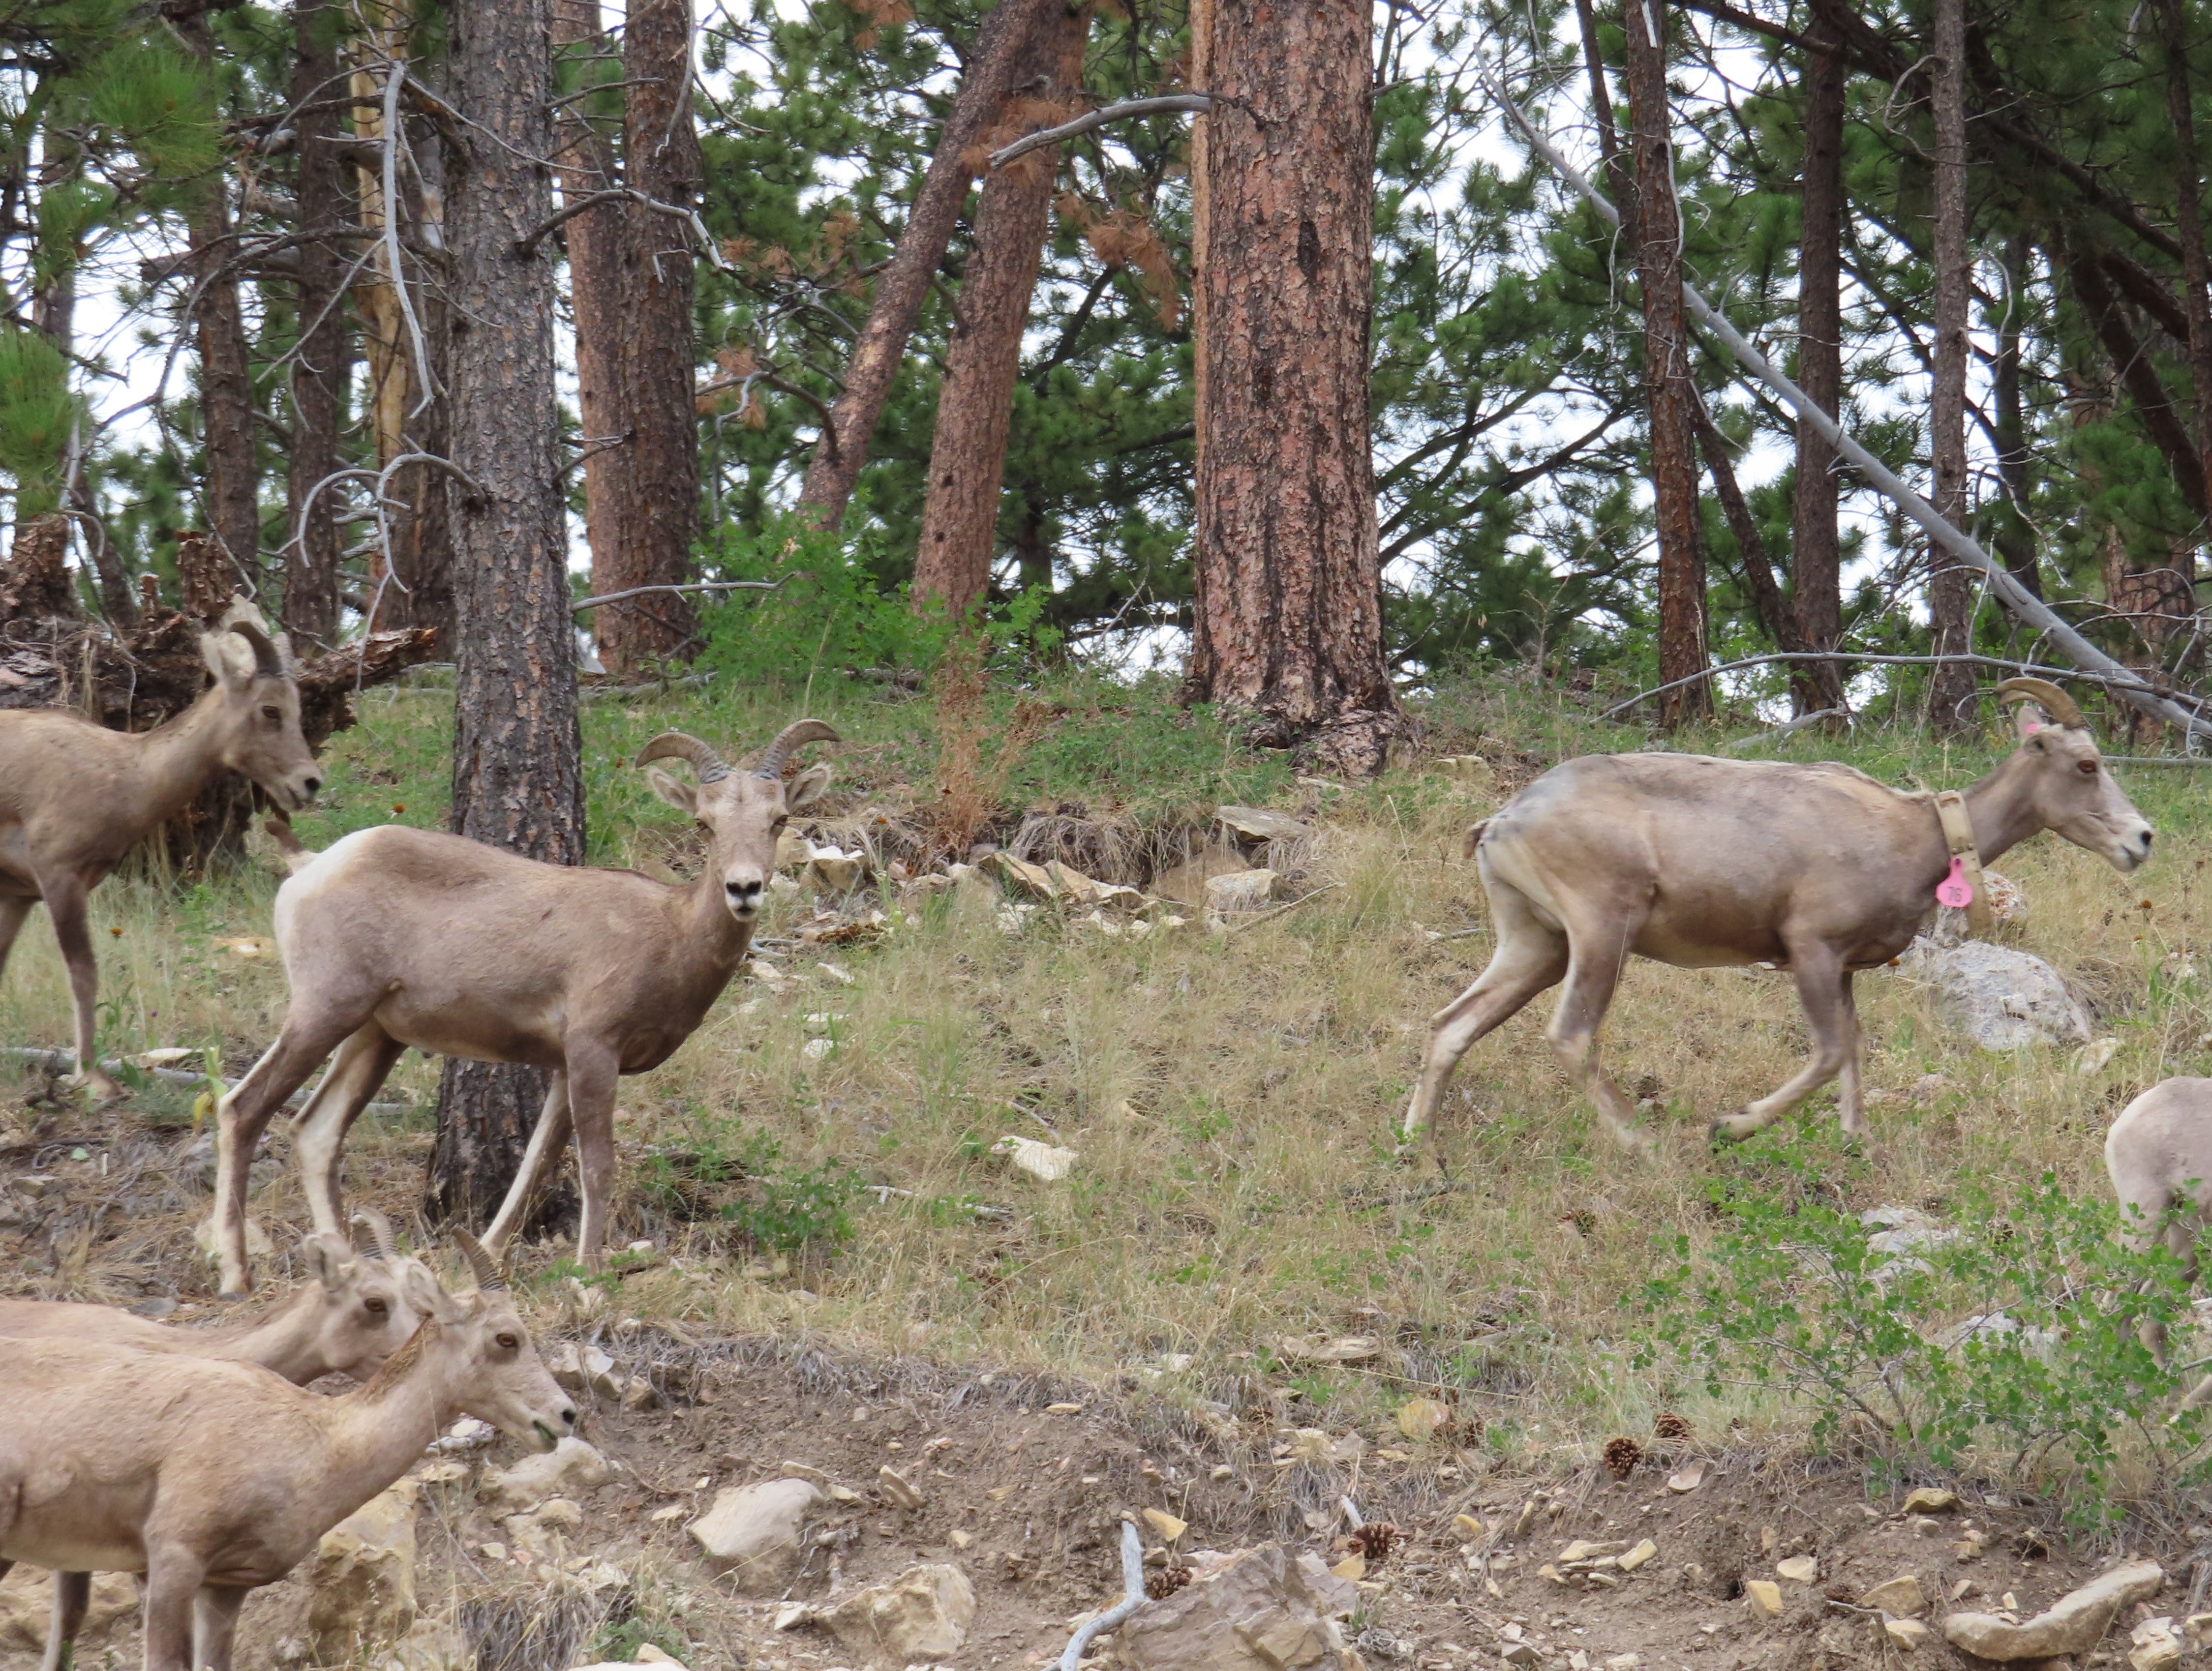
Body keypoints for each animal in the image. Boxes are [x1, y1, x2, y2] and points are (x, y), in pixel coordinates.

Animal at [0, 605, 321, 1100]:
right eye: (270, 710)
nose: (308, 783)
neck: (124, 774)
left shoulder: (18, 894)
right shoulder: (58, 878)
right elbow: (84, 973)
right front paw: (94, 1079)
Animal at [209, 718, 839, 1294]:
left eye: (778, 820)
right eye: (704, 824)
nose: (744, 889)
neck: (669, 934)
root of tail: (310, 864)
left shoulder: (563, 1067)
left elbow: (535, 1166)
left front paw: (485, 1263)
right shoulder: (593, 1052)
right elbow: (596, 1166)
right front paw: (590, 1282)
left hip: (374, 1037)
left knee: (316, 1130)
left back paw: (347, 1271)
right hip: (324, 1012)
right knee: (244, 1109)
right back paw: (236, 1276)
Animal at [1401, 679, 2154, 1155]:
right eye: (2087, 764)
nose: (2141, 839)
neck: (1917, 835)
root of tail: (1505, 819)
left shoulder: (1843, 970)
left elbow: (1852, 1049)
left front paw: (1856, 1143)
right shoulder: (1811, 950)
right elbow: (1828, 1053)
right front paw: (1729, 1127)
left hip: (1537, 943)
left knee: (1451, 1025)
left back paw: (1420, 1148)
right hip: (1598, 935)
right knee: (1571, 1035)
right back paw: (1645, 1146)